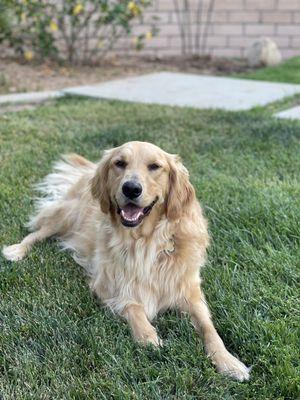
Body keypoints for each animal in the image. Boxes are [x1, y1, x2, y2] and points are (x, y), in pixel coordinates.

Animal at [2, 141, 250, 382]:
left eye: (155, 166)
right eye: (120, 163)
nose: (131, 188)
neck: (146, 241)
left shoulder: (190, 291)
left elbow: (209, 329)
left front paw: (228, 361)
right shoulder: (107, 284)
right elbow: (133, 307)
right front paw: (149, 338)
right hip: (66, 216)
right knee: (37, 232)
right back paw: (16, 250)